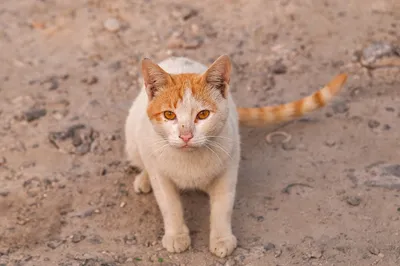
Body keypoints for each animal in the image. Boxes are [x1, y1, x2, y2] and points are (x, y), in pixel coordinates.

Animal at [124, 54, 346, 258]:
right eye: (169, 115)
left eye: (203, 114)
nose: (186, 136)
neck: (190, 159)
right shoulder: (159, 172)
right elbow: (169, 204)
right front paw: (176, 235)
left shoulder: (229, 166)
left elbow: (223, 206)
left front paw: (221, 238)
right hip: (133, 140)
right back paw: (144, 179)